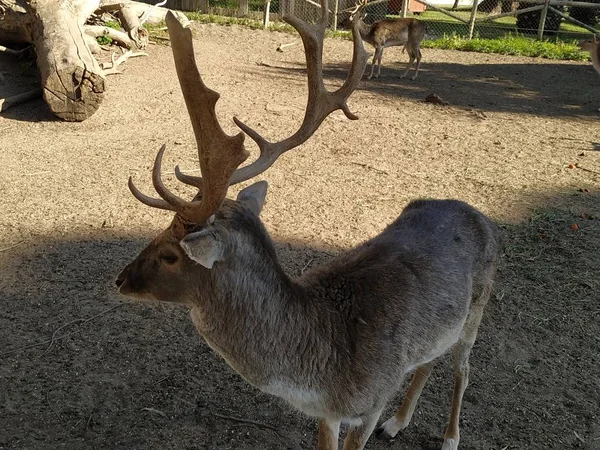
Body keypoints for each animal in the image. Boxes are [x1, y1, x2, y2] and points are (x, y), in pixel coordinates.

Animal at [115, 4, 500, 450]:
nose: (120, 279)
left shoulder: (371, 401)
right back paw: (398, 422)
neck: (321, 373)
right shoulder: (327, 414)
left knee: (463, 367)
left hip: (478, 309)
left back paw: (451, 437)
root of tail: (477, 214)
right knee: (429, 362)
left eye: (170, 254)